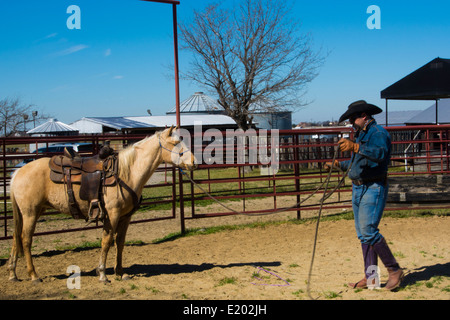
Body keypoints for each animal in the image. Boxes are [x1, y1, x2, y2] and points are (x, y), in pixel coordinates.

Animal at [7, 127, 197, 282]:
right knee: (25, 239)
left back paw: (13, 274)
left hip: (30, 213)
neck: (126, 173)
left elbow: (120, 242)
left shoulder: (125, 217)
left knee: (16, 237)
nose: (193, 162)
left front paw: (120, 272)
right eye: (175, 142)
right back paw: (33, 275)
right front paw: (103, 274)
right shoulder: (112, 215)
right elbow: (106, 242)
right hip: (30, 213)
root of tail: (18, 172)